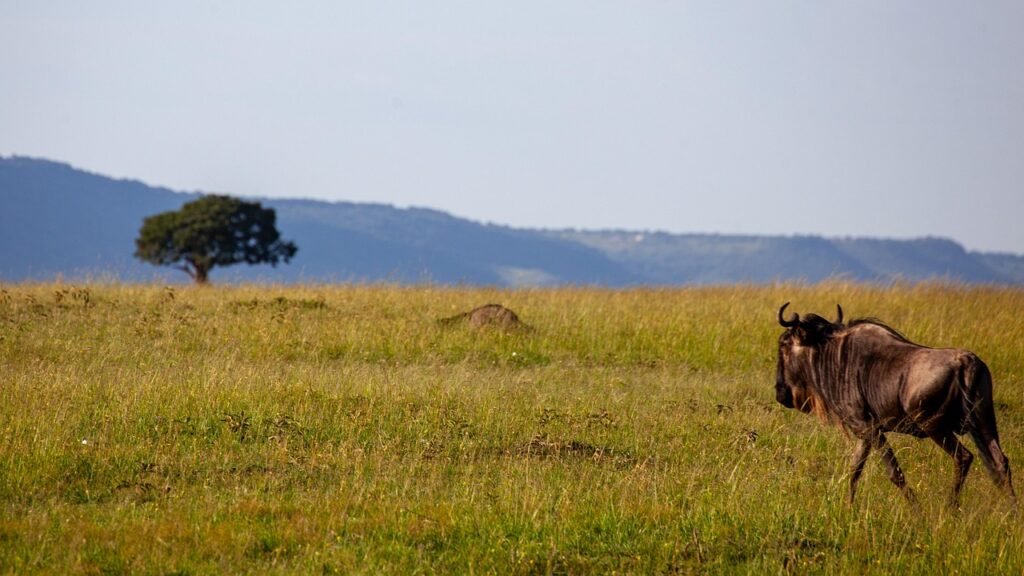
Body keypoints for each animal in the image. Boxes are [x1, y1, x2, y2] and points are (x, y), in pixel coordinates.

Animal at [775, 303, 1016, 508]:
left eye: (784, 345)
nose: (780, 393)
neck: (833, 355)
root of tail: (966, 363)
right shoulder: (866, 432)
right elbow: (855, 469)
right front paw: (848, 508)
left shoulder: (871, 429)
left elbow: (894, 473)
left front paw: (918, 512)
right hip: (984, 422)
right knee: (1000, 462)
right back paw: (1011, 512)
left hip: (936, 427)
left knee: (963, 457)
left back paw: (950, 508)